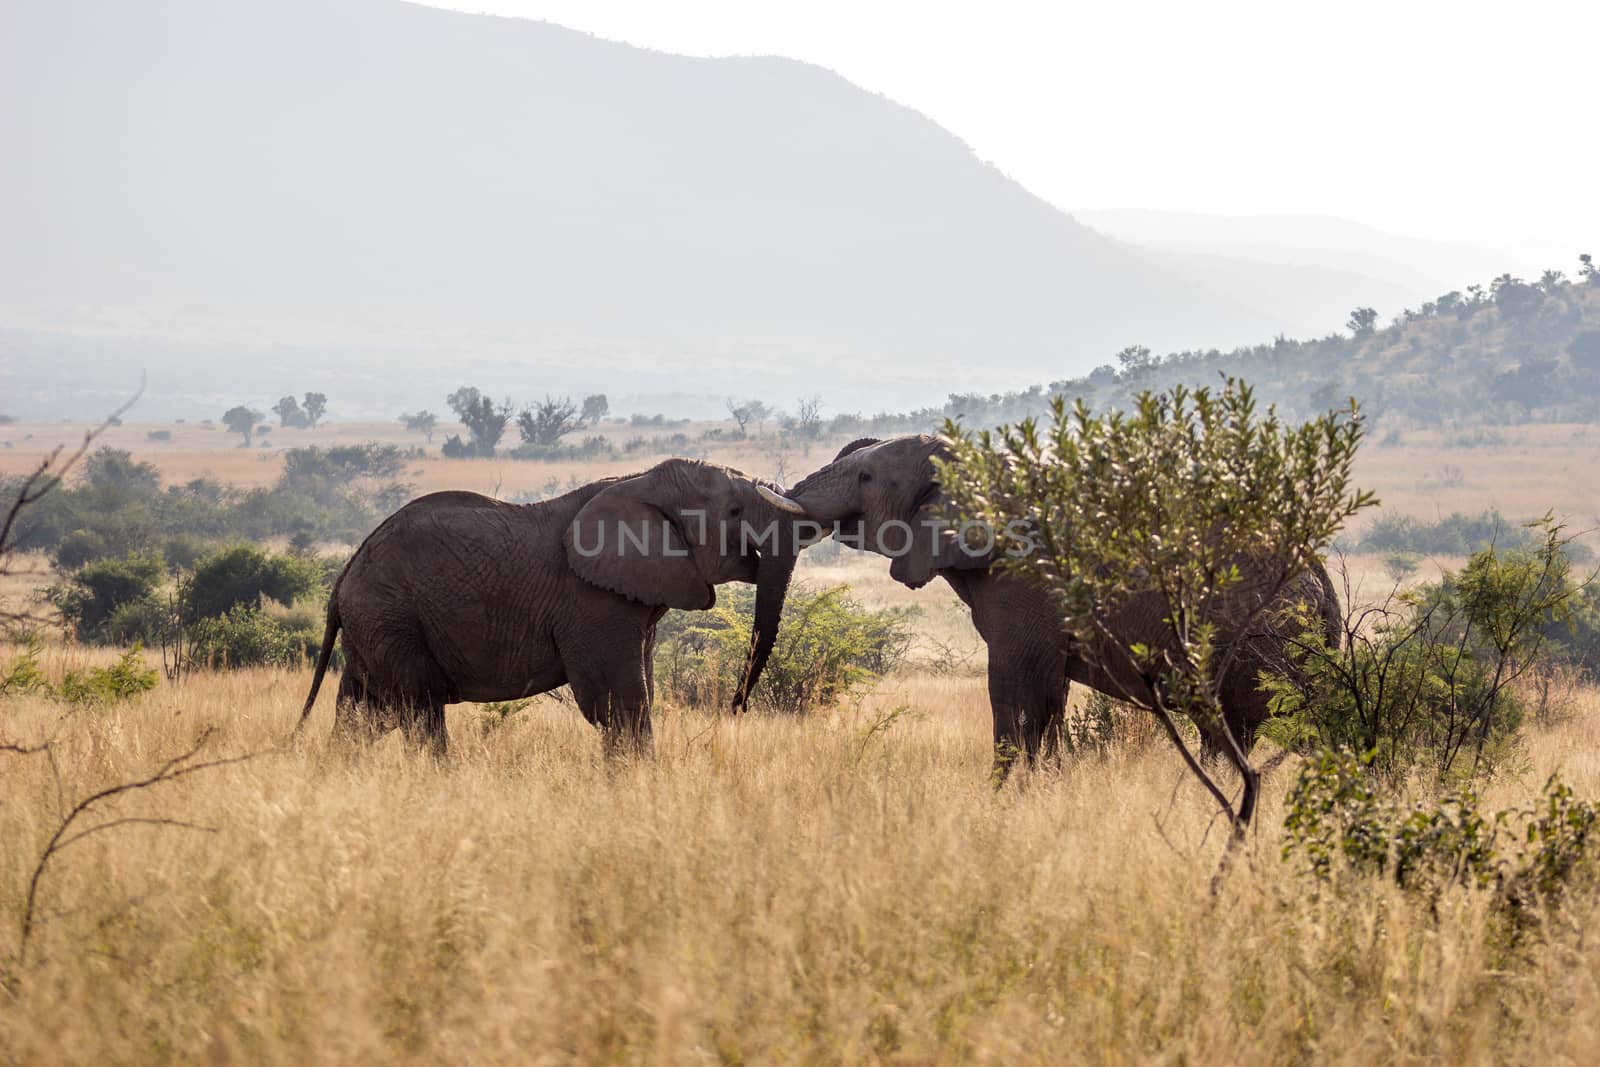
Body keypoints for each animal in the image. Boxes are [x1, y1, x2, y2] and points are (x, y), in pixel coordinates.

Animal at [294, 460, 806, 758]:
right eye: (735, 512)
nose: (736, 707)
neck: (640, 481)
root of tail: (344, 575)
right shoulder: (590, 600)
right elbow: (618, 703)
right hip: (390, 617)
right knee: (418, 709)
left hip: (375, 624)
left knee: (364, 712)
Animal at [768, 435, 1344, 783]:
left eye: (866, 478)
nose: (771, 488)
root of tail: (1319, 575)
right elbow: (1050, 693)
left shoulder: (1029, 582)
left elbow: (1016, 686)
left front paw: (1003, 797)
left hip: (1259, 636)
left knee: (1239, 721)